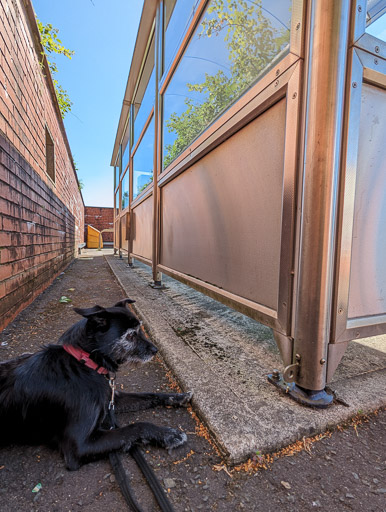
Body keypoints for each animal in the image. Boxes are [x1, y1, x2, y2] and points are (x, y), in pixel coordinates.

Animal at [0, 298, 191, 470]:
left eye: (140, 330)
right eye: (130, 335)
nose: (155, 350)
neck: (85, 363)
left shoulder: (111, 399)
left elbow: (149, 395)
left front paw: (178, 397)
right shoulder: (80, 446)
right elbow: (135, 427)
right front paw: (168, 434)